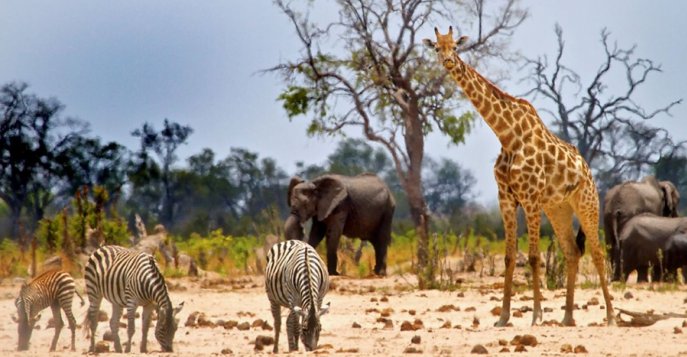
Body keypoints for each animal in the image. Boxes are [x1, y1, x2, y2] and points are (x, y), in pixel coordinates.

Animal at [428, 27, 616, 326]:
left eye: (455, 47)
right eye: (436, 47)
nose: (447, 61)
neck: (507, 135)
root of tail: (587, 169)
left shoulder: (530, 198)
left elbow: (534, 256)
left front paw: (537, 316)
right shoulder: (506, 198)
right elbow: (509, 257)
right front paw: (503, 317)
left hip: (587, 202)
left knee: (597, 252)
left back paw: (610, 316)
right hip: (558, 208)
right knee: (572, 252)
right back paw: (567, 318)